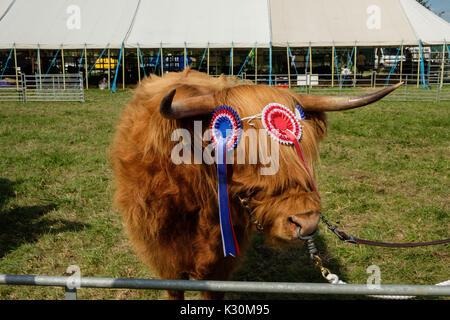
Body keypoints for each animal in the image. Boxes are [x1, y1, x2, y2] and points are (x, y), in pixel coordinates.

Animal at [111, 68, 400, 300]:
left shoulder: (222, 262)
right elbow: (175, 289)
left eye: (303, 150)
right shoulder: (164, 256)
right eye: (242, 154)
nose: (306, 223)